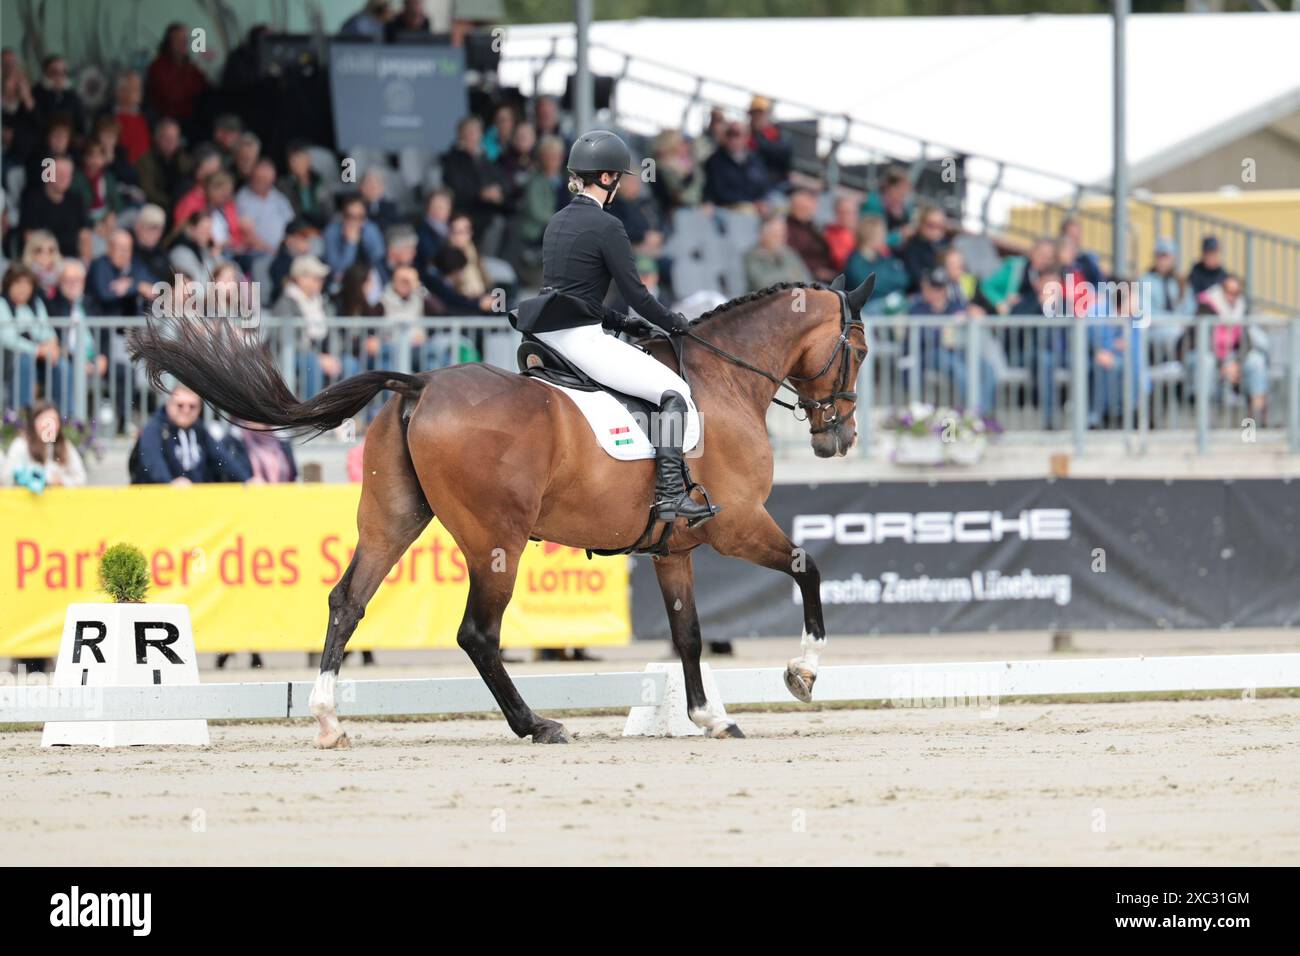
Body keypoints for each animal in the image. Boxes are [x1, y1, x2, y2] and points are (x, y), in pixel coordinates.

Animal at [129, 277, 873, 749]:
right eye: (859, 351)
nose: (837, 439)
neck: (723, 381)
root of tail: (420, 382)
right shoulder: (737, 523)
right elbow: (809, 567)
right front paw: (802, 675)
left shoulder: (674, 549)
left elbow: (688, 636)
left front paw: (708, 718)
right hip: (497, 541)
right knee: (478, 634)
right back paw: (535, 725)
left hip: (393, 520)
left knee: (348, 600)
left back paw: (328, 720)